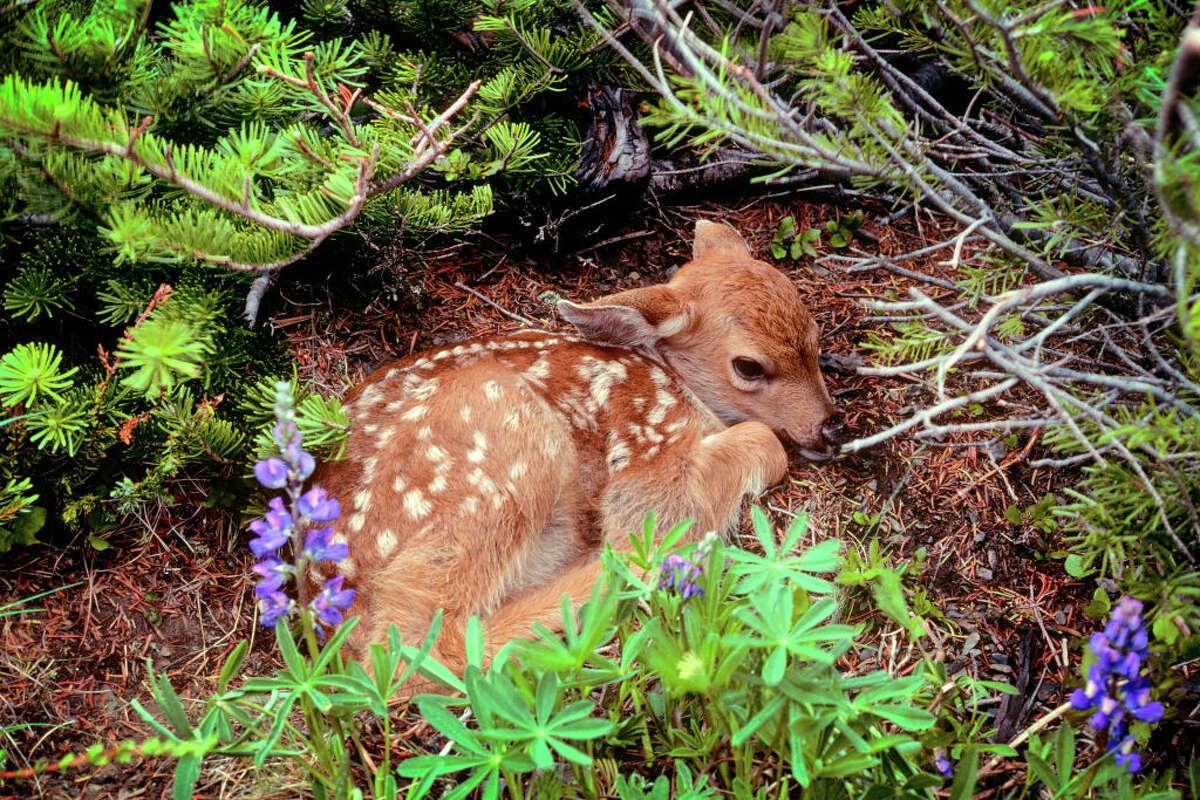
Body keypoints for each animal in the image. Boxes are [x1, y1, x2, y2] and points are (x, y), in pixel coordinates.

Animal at [314, 221, 840, 681]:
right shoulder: (647, 452)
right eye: (749, 366)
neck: (673, 378)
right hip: (497, 451)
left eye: (816, 339)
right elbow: (761, 443)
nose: (831, 426)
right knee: (426, 647)